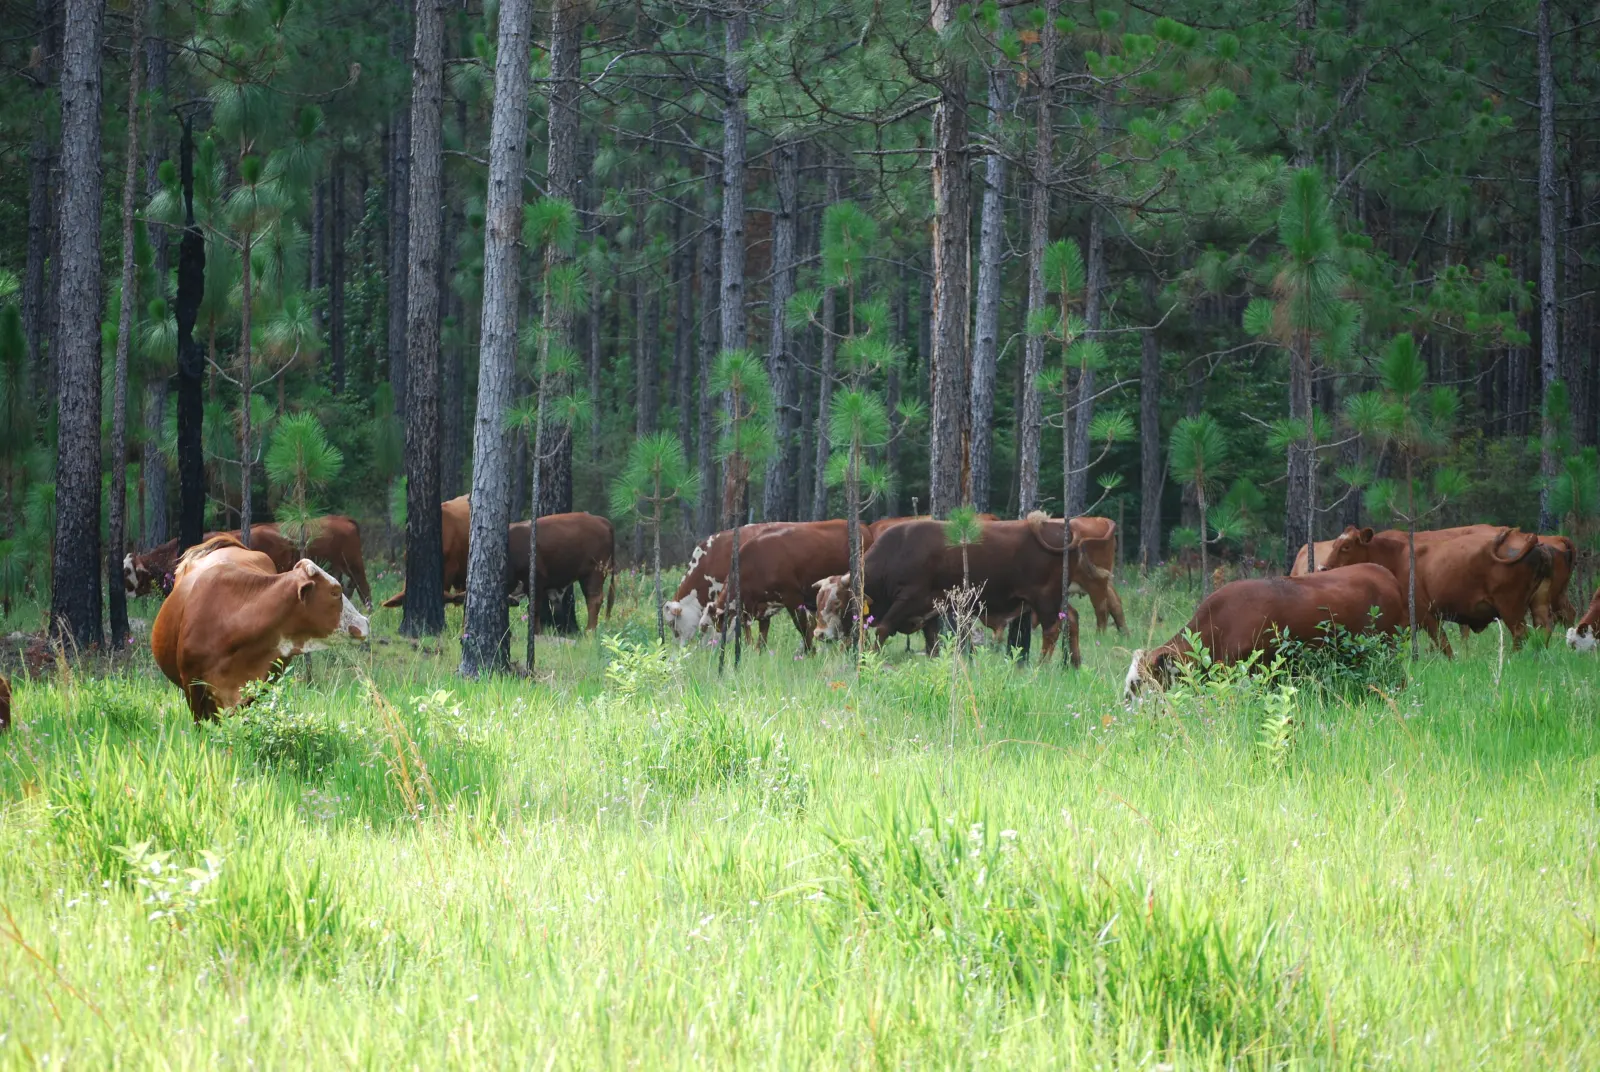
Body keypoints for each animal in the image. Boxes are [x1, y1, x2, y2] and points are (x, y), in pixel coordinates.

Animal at [1317, 525, 1549, 654]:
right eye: (1333, 545)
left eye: (1346, 547)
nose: (1323, 568)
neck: (1394, 557)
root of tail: (1533, 543)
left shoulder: (1425, 614)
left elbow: (1444, 646)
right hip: (1537, 605)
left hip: (1510, 607)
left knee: (1520, 634)